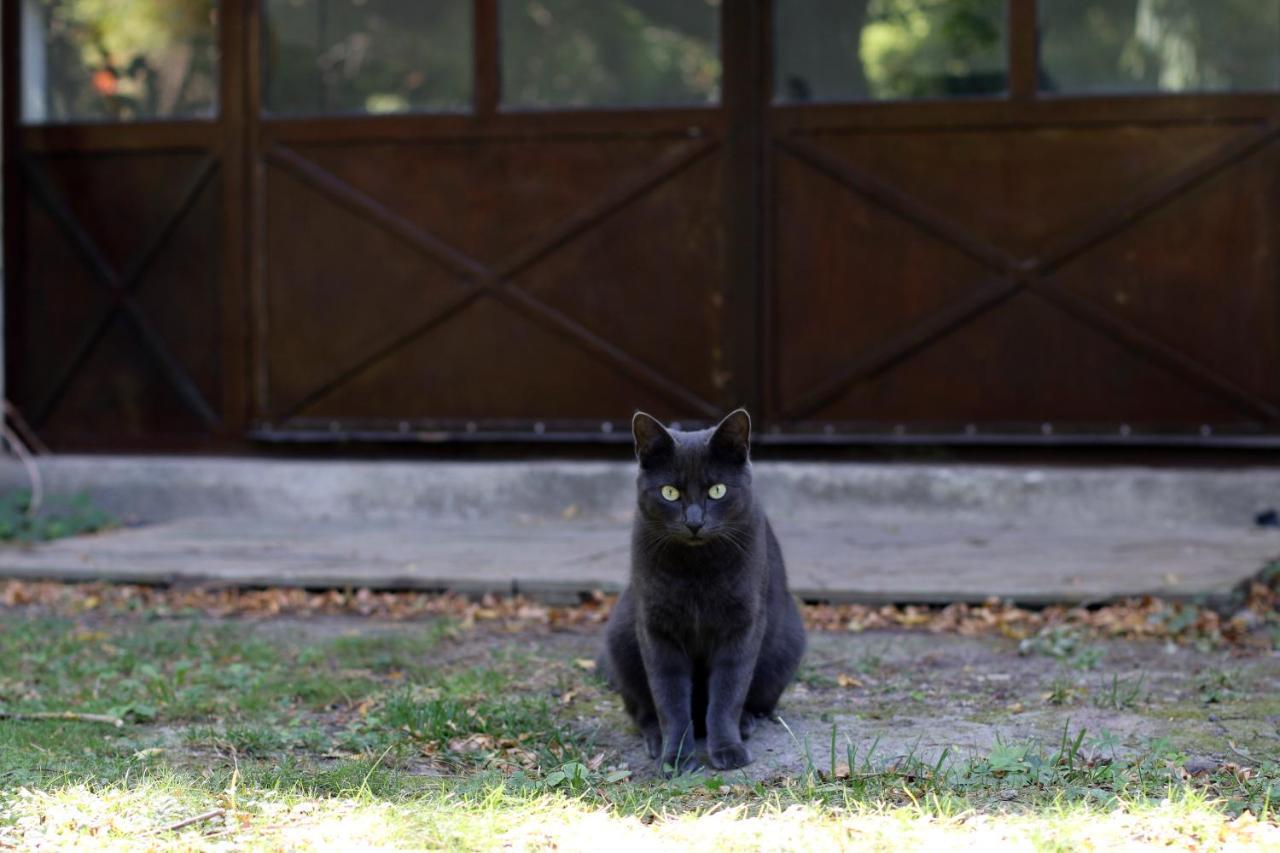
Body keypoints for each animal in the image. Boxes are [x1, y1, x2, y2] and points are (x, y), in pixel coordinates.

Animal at [604, 409, 803, 773]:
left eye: (717, 490)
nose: (694, 522)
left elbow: (728, 692)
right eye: (669, 492)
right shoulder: (656, 629)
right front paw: (675, 758)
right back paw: (656, 740)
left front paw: (727, 749)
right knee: (642, 710)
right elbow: (668, 697)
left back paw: (745, 724)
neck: (697, 571)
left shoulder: (743, 625)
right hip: (620, 637)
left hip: (785, 650)